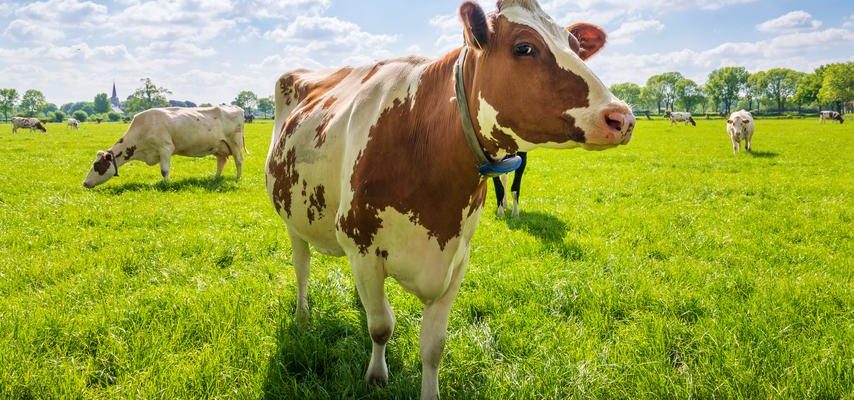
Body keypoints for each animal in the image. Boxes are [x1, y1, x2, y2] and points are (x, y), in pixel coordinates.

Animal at [83, 105, 246, 188]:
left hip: (235, 142)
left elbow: (164, 170)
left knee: (238, 160)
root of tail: (236, 107)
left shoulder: (165, 148)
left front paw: (166, 184)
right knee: (221, 161)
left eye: (97, 165)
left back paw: (237, 178)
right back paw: (215, 178)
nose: (84, 183)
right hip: (219, 146)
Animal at [268, 1, 636, 398]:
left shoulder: (457, 257)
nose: (622, 117)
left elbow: (433, 346)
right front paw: (376, 376)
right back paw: (303, 316)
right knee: (302, 268)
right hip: (292, 221)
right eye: (524, 47)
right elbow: (381, 327)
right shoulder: (362, 248)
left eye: (575, 45)